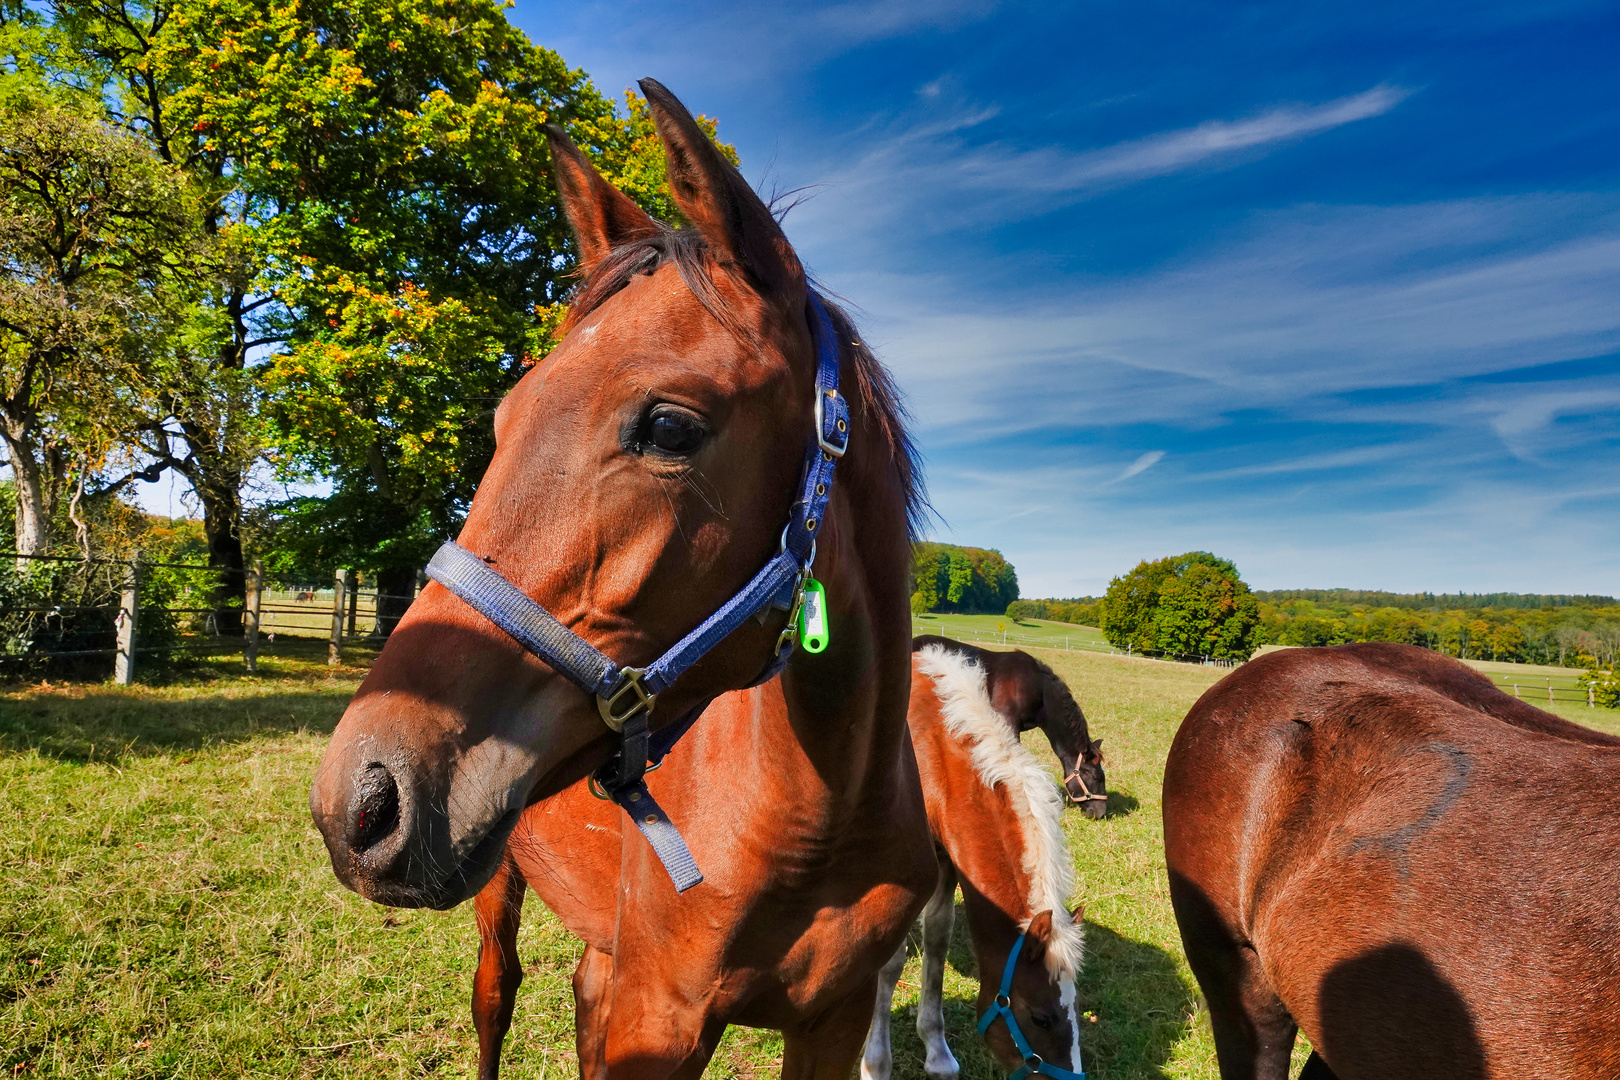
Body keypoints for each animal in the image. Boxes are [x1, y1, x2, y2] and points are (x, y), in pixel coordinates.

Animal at [309, 78, 939, 1080]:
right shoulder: (659, 1021)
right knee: (495, 995)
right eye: (505, 418)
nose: (363, 799)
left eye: (671, 427)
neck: (823, 818)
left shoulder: (832, 1019)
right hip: (501, 889)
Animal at [861, 641, 1088, 1080]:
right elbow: (890, 962)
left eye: (1076, 1011)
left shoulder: (949, 861)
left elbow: (937, 940)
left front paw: (937, 1050)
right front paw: (875, 1062)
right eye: (1042, 1017)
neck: (931, 751)